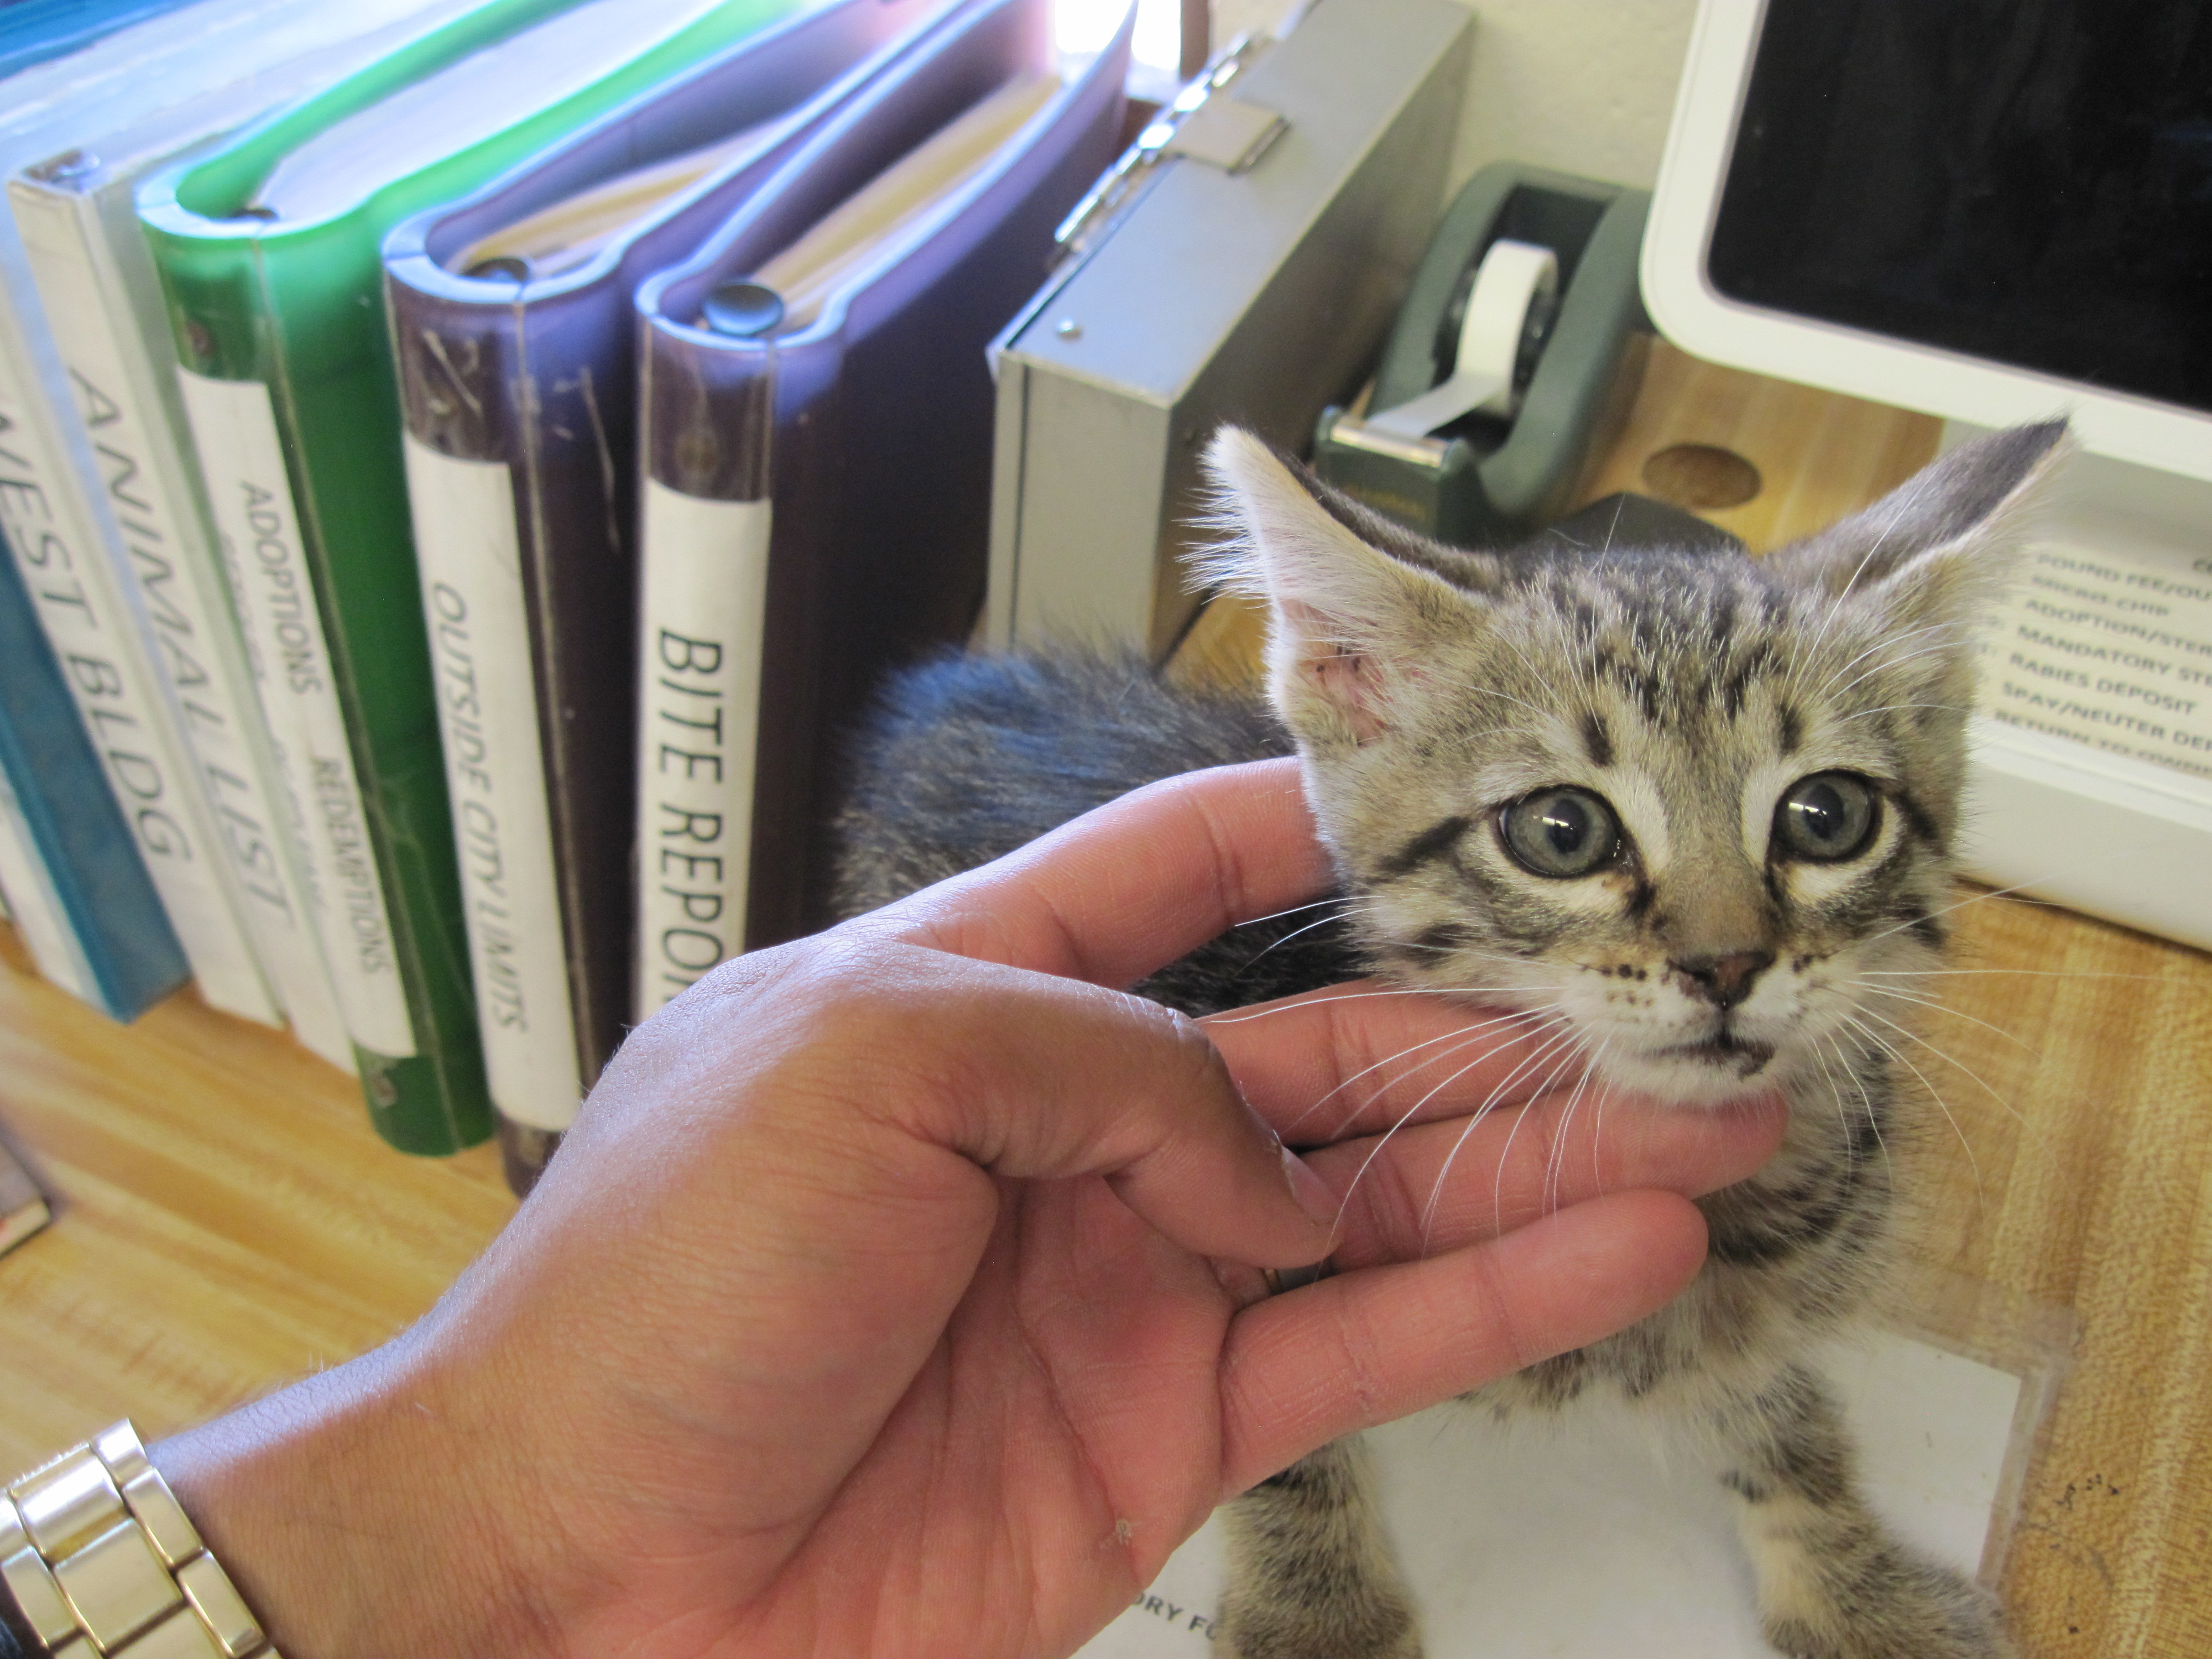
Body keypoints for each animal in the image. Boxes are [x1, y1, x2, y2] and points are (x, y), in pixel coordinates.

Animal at [832, 422, 2070, 1659]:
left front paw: (1858, 1588)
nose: (1724, 966)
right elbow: (1271, 1421)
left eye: (1828, 817)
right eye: (1562, 831)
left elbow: (1777, 1408)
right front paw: (1318, 1611)